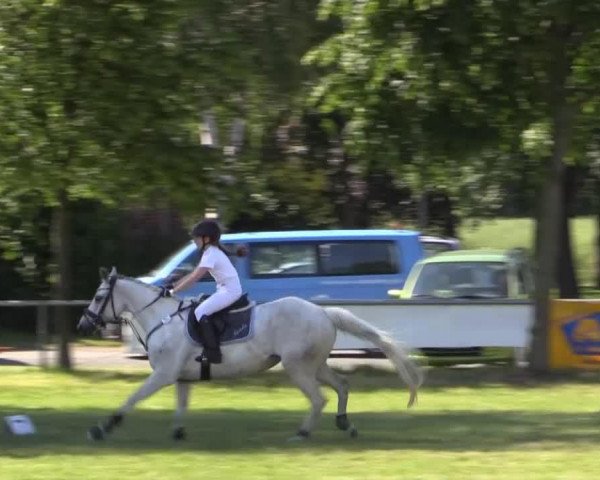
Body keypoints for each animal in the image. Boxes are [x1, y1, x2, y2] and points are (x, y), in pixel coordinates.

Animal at [79, 268, 424, 440]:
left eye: (97, 297)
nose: (84, 325)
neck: (161, 318)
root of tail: (323, 313)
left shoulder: (163, 375)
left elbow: (132, 399)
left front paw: (101, 428)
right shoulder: (181, 377)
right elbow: (181, 406)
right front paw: (178, 433)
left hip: (298, 367)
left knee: (319, 398)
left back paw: (302, 433)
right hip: (315, 365)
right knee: (341, 386)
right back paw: (345, 425)